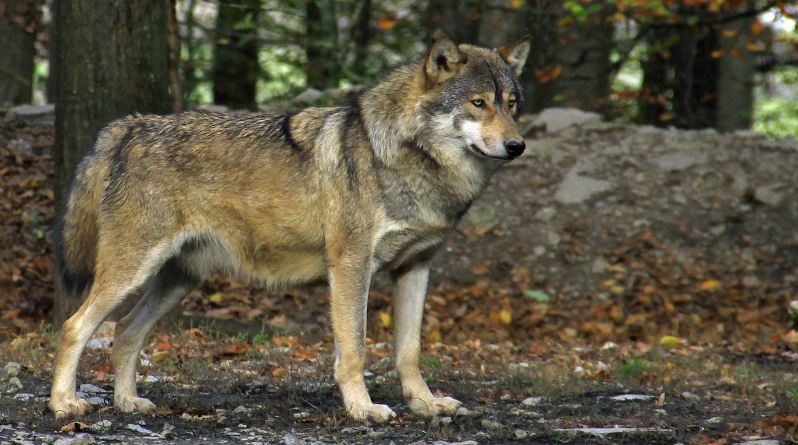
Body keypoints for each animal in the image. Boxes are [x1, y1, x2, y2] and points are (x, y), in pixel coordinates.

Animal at [49, 35, 531, 422]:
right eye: (478, 103)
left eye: (511, 103)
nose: (517, 145)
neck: (409, 160)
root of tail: (132, 125)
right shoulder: (351, 267)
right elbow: (354, 351)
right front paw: (363, 409)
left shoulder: (415, 268)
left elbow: (409, 353)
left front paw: (426, 404)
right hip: (131, 273)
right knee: (75, 326)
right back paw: (64, 404)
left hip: (177, 280)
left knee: (125, 331)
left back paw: (127, 402)